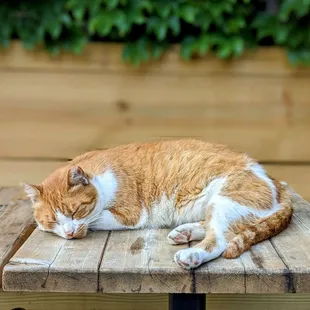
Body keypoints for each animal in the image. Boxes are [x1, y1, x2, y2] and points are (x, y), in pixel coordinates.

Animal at [22, 140, 294, 268]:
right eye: (52, 220)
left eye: (76, 211)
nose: (69, 233)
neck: (101, 175)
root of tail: (274, 181)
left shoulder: (130, 214)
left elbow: (95, 219)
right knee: (214, 226)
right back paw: (184, 232)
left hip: (225, 200)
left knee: (219, 239)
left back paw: (191, 254)